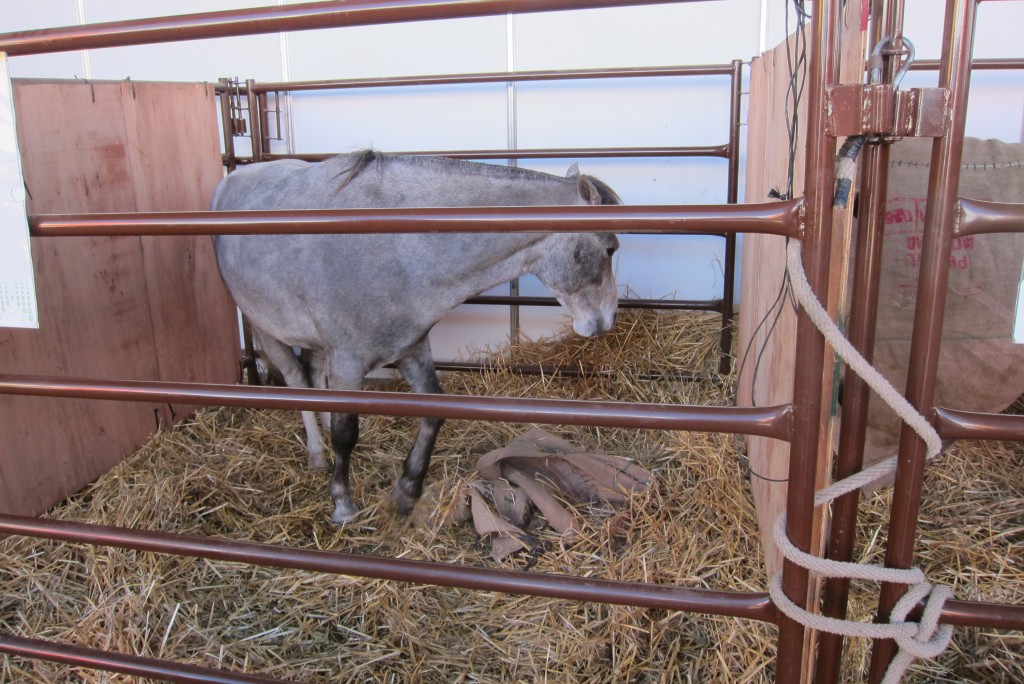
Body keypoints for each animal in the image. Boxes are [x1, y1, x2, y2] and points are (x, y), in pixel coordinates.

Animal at [211, 150, 618, 524]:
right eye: (610, 248)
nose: (608, 319)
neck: (396, 244)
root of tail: (227, 183)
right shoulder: (348, 360)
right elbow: (346, 432)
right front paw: (342, 502)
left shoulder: (411, 349)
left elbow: (433, 411)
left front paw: (408, 489)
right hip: (268, 329)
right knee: (297, 382)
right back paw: (316, 453)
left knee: (314, 376)